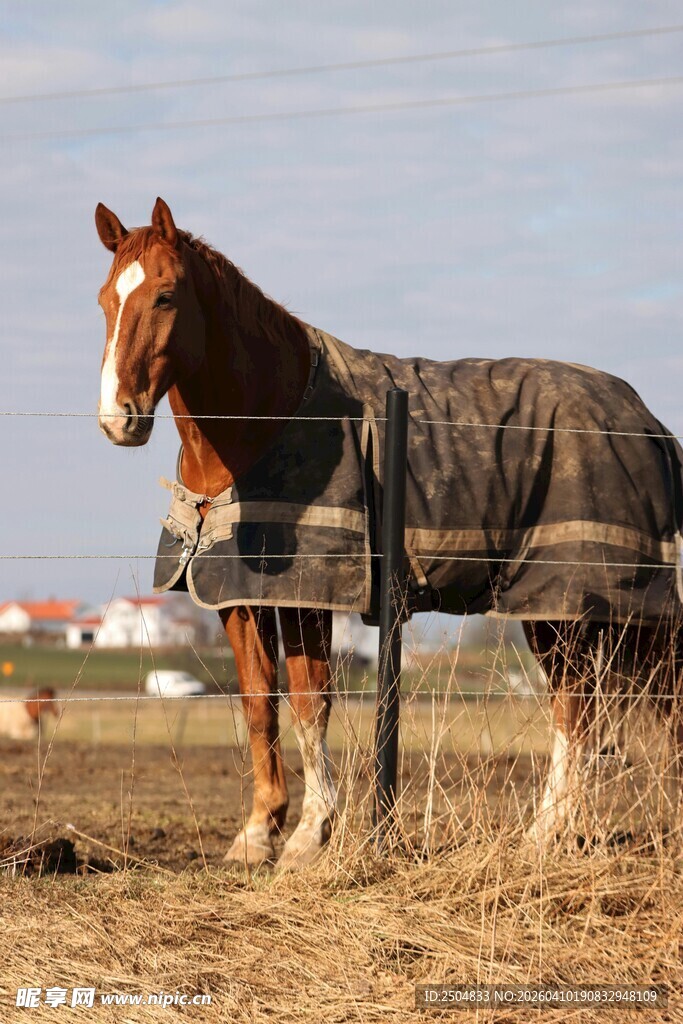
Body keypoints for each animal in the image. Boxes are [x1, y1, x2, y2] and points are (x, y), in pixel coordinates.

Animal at [95, 197, 683, 865]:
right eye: (105, 300)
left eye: (166, 295)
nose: (118, 419)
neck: (273, 417)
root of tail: (647, 422)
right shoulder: (236, 596)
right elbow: (258, 704)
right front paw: (257, 833)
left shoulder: (308, 595)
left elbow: (310, 701)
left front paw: (309, 836)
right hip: (558, 610)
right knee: (578, 707)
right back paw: (555, 834)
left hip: (575, 600)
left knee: (581, 712)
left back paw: (542, 834)